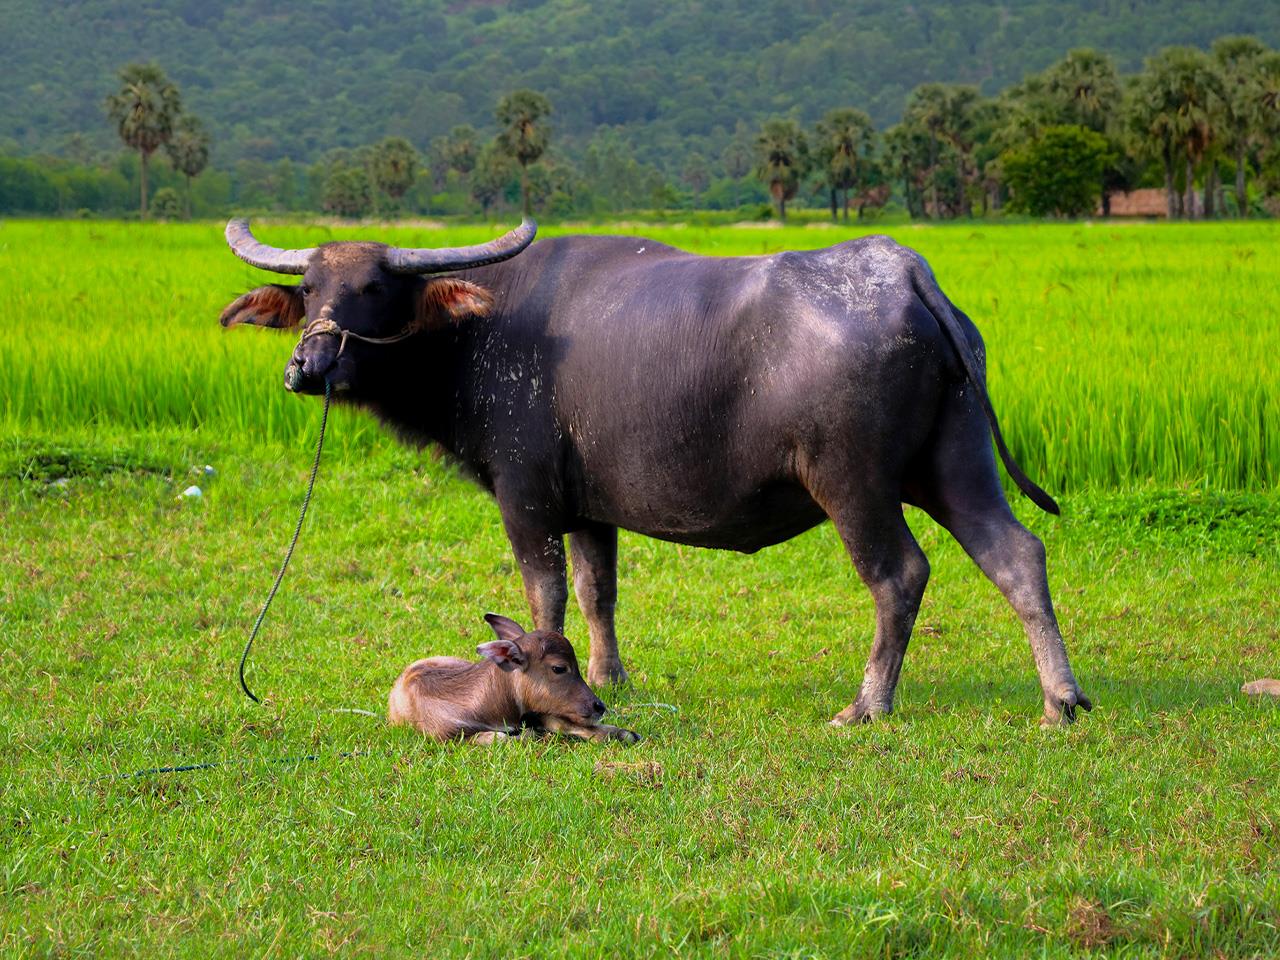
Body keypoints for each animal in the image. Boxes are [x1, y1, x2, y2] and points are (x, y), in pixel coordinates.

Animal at [217, 220, 1090, 727]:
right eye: (309, 288)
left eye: (373, 287)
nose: (306, 367)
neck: (480, 333)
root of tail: (902, 269)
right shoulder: (590, 509)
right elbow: (598, 591)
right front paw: (612, 673)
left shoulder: (525, 500)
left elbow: (545, 594)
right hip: (956, 463)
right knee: (1017, 556)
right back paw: (1061, 700)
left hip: (855, 483)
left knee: (899, 576)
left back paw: (866, 705)